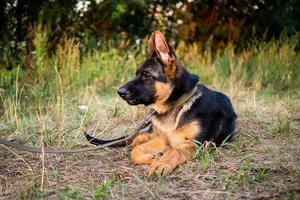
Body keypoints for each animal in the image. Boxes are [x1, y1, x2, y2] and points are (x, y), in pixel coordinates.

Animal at [115, 30, 237, 176]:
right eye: (137, 74)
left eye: (147, 75)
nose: (120, 92)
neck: (177, 105)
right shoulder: (162, 140)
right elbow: (135, 151)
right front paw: (151, 158)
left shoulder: (191, 144)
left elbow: (174, 151)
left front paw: (160, 163)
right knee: (140, 138)